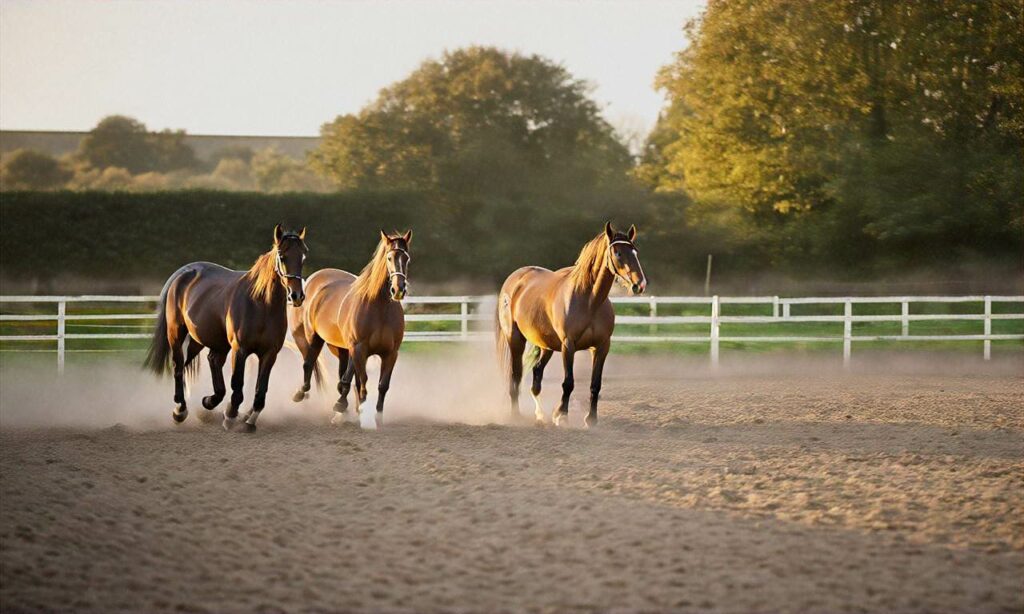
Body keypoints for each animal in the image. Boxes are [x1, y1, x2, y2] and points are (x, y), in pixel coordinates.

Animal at [143, 223, 307, 429]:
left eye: (302, 257)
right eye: (282, 256)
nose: (297, 295)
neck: (260, 305)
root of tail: (184, 272)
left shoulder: (270, 354)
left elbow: (261, 389)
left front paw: (249, 420)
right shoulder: (240, 350)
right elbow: (237, 385)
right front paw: (230, 415)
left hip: (205, 340)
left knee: (209, 362)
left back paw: (208, 402)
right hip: (177, 334)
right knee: (178, 366)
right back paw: (180, 410)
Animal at [286, 229, 409, 427]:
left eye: (406, 258)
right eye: (389, 258)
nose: (398, 289)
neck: (380, 308)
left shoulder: (390, 353)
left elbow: (382, 385)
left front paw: (377, 416)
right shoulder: (359, 349)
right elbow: (363, 382)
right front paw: (362, 416)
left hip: (340, 348)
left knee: (344, 374)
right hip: (312, 338)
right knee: (309, 363)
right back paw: (302, 393)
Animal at [495, 223, 647, 429]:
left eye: (635, 251)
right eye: (618, 253)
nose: (640, 285)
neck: (589, 300)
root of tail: (514, 279)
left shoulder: (601, 347)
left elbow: (595, 384)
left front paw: (591, 419)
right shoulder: (569, 346)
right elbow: (568, 382)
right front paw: (562, 416)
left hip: (546, 346)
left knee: (536, 376)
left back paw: (540, 416)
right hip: (516, 340)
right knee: (516, 376)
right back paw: (516, 416)